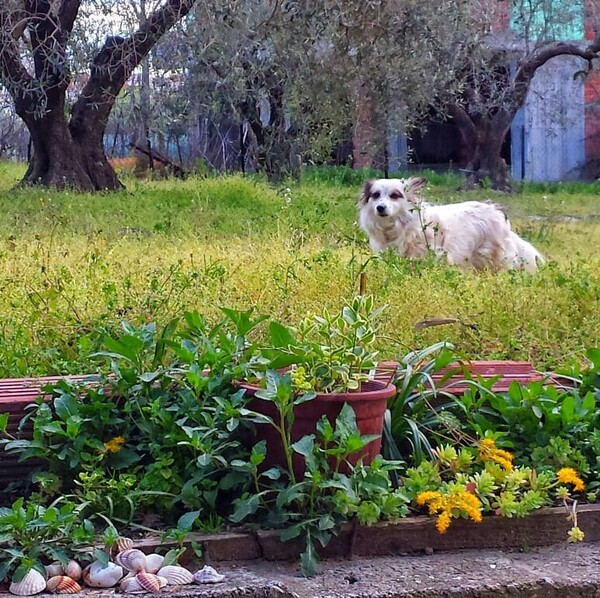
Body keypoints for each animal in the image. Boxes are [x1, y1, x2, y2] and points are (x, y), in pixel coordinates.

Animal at [356, 177, 544, 274]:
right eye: (376, 195)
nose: (380, 207)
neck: (396, 226)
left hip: (497, 257)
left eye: (395, 195)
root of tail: (496, 209)